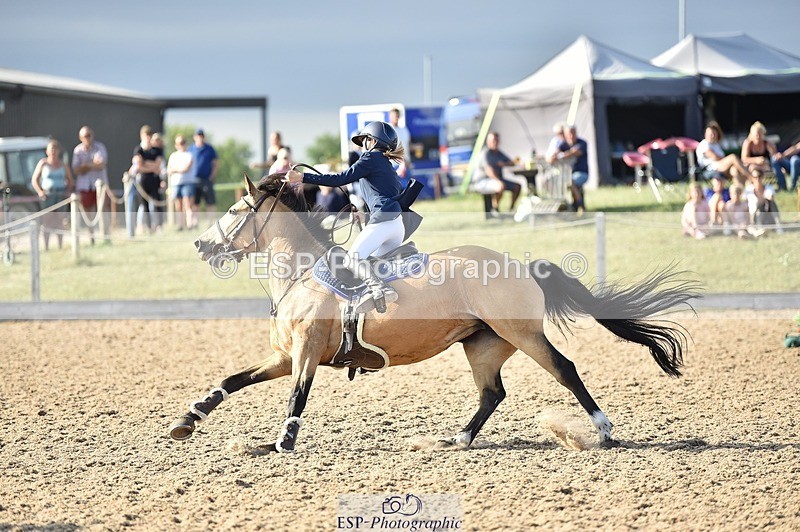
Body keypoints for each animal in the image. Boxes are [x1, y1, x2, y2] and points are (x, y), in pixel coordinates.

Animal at [168, 173, 699, 453]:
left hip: (523, 335)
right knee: (492, 393)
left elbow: (297, 398)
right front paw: (188, 420)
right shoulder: (284, 357)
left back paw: (604, 430)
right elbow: (232, 380)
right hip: (482, 345)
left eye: (235, 209)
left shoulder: (305, 354)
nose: (200, 245)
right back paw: (458, 438)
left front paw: (281, 442)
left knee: (564, 370)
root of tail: (523, 265)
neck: (302, 274)